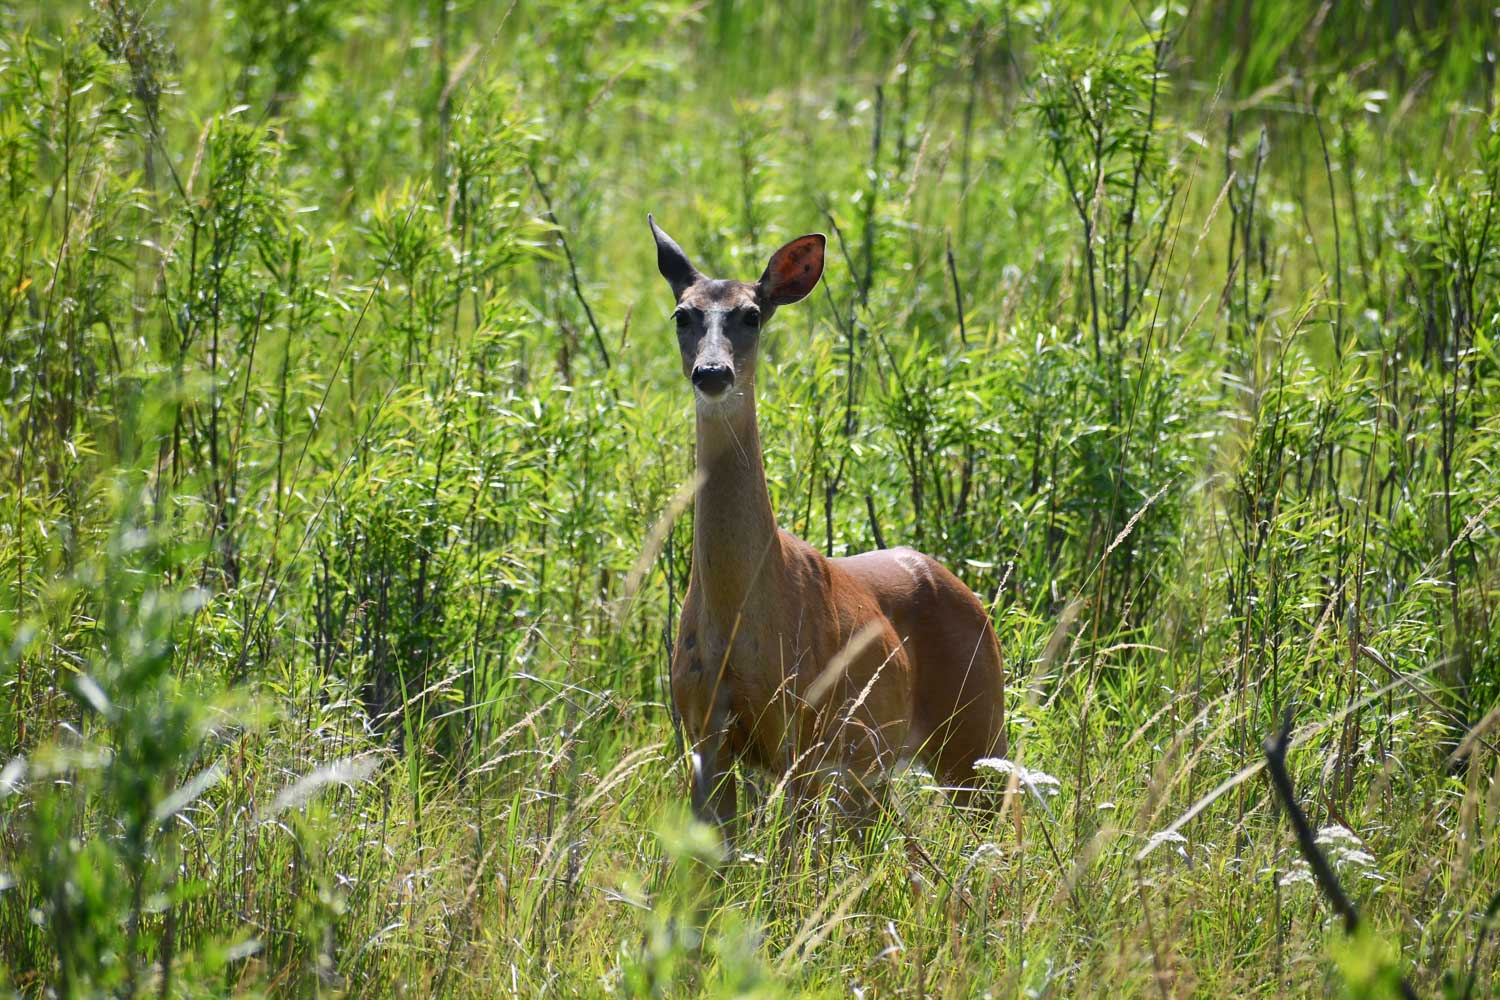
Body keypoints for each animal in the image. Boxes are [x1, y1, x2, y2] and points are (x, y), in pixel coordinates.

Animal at [648, 215, 1008, 833]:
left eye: (752, 314)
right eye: (682, 314)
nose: (712, 372)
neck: (739, 617)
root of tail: (969, 594)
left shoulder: (802, 735)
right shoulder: (702, 735)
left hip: (975, 729)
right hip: (875, 768)